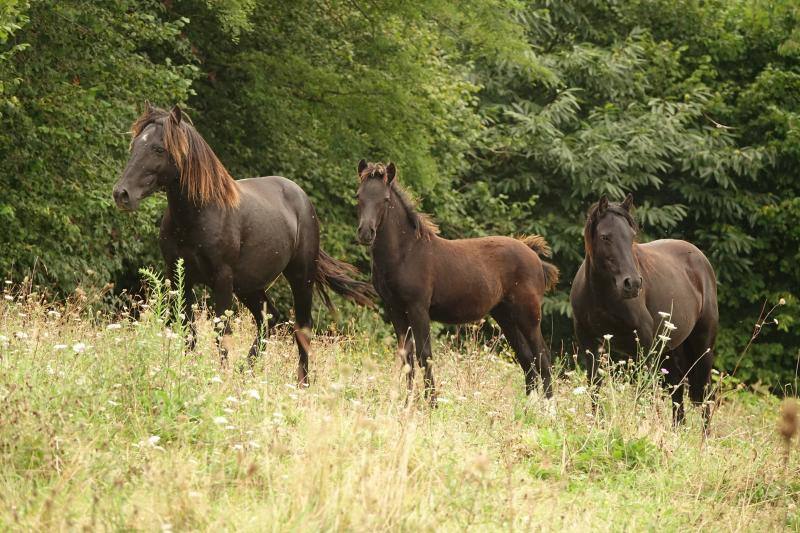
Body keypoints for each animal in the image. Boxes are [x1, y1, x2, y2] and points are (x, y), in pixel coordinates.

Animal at [112, 104, 376, 380]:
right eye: (135, 145)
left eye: (158, 148)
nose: (122, 194)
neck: (198, 214)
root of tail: (302, 199)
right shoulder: (179, 277)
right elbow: (188, 330)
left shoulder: (222, 279)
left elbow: (221, 333)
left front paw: (220, 377)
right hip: (249, 286)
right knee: (269, 319)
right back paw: (246, 370)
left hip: (300, 278)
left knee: (302, 328)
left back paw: (301, 382)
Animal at [354, 160, 560, 402]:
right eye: (358, 195)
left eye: (385, 199)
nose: (366, 233)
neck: (406, 253)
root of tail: (533, 254)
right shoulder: (394, 309)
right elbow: (407, 357)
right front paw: (406, 403)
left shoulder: (418, 308)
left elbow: (425, 355)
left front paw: (432, 402)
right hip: (505, 316)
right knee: (527, 360)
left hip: (528, 315)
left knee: (542, 356)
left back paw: (548, 407)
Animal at [568, 193, 720, 422]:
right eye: (605, 237)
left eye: (631, 236)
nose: (632, 284)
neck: (602, 294)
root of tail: (699, 258)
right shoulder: (589, 342)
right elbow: (595, 387)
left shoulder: (645, 346)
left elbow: (644, 391)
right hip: (670, 350)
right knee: (677, 393)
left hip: (702, 347)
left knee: (704, 395)